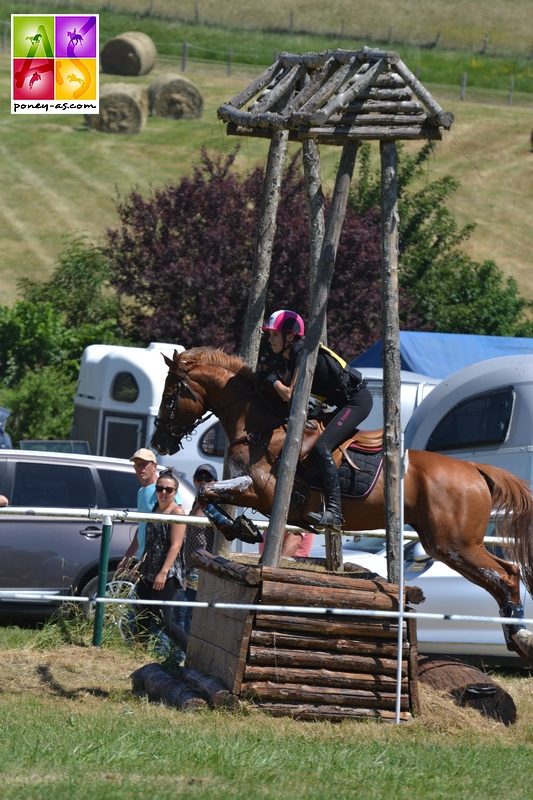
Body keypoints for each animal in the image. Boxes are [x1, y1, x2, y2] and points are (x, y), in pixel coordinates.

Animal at [151, 346, 532, 660]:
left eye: (170, 395)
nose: (158, 442)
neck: (263, 424)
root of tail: (474, 470)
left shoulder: (267, 492)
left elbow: (208, 491)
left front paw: (242, 528)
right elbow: (209, 493)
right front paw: (240, 527)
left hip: (453, 544)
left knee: (507, 575)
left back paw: (519, 637)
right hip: (444, 543)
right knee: (504, 576)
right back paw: (514, 636)